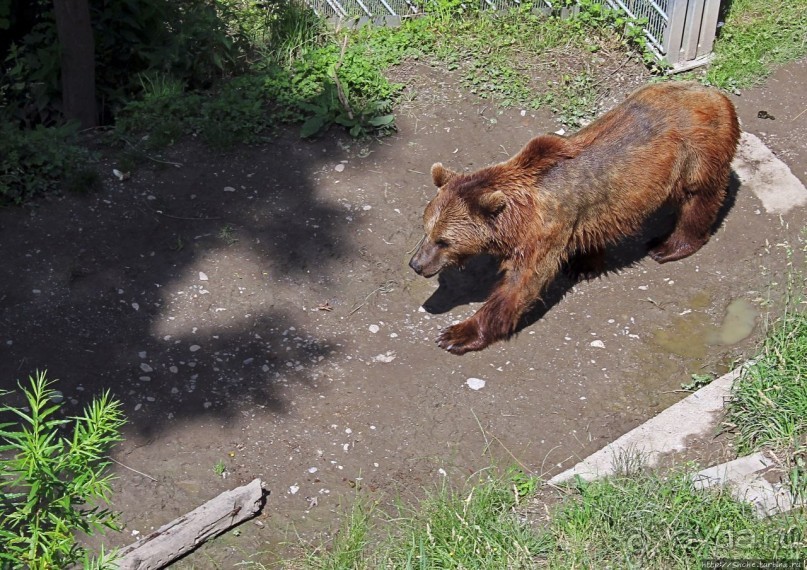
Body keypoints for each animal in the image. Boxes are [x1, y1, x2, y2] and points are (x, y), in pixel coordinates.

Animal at [410, 80, 740, 352]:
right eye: (426, 230)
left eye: (444, 241)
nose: (416, 264)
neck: (518, 215)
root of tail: (717, 93)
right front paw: (583, 263)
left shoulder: (545, 229)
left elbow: (521, 284)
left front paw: (456, 334)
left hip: (697, 153)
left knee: (699, 199)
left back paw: (668, 246)